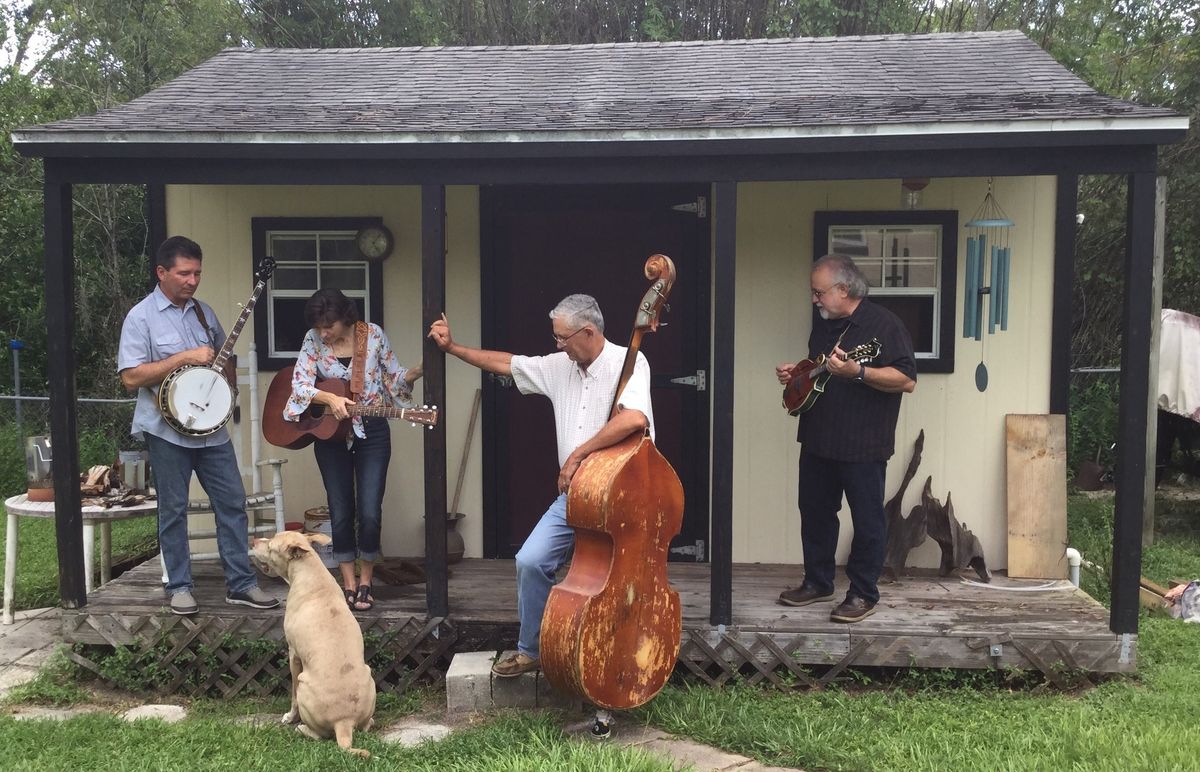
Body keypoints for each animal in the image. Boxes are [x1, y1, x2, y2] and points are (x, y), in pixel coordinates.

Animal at [247, 535, 369, 758]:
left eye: (270, 547)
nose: (253, 541)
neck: (310, 571)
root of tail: (344, 723)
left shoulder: (293, 654)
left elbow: (292, 695)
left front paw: (289, 717)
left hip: (304, 683)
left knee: (319, 734)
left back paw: (301, 728)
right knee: (366, 725)